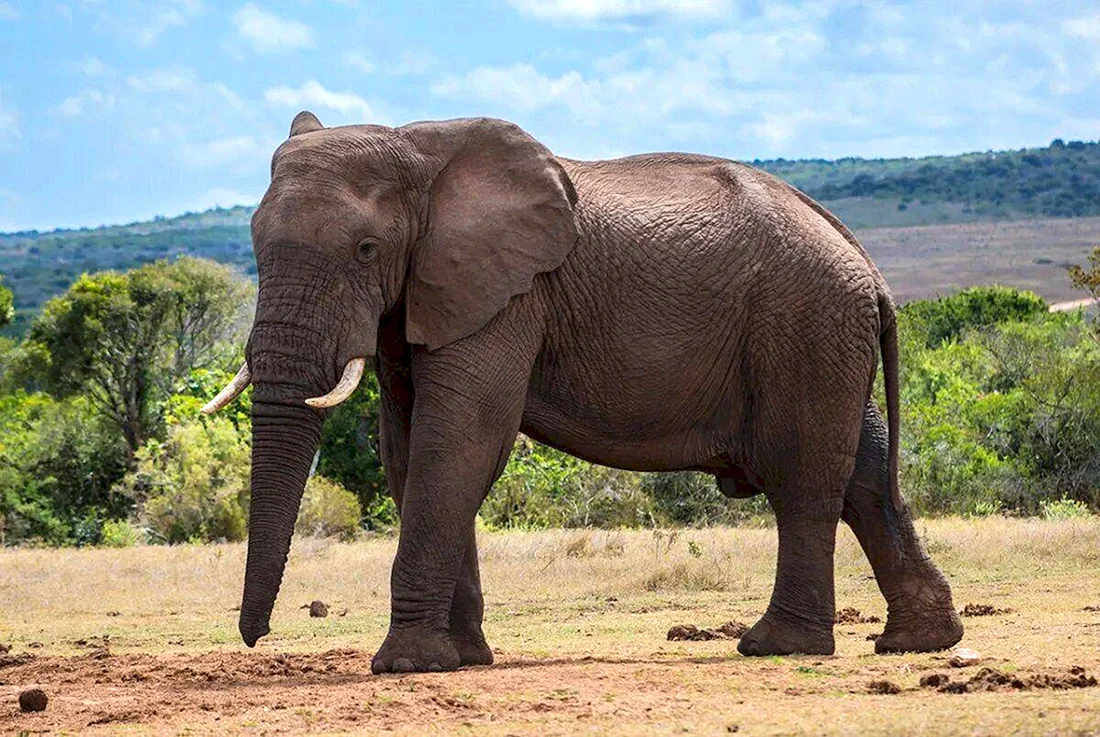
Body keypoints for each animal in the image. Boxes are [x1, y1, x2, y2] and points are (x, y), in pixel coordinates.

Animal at [203, 110, 964, 673]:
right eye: (255, 245)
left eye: (365, 251)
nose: (257, 637)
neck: (416, 146)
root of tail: (869, 265)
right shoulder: (422, 302)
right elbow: (410, 451)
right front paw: (465, 659)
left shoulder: (509, 297)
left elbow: (461, 443)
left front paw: (407, 665)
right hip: (825, 339)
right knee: (866, 475)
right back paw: (917, 643)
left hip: (805, 326)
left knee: (805, 479)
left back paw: (775, 646)